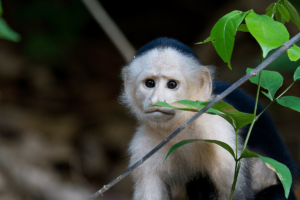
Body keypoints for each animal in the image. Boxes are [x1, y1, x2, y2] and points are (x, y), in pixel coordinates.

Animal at [120, 38, 298, 200]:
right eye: (149, 83)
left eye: (172, 85)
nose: (157, 100)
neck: (180, 125)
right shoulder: (142, 148)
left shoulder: (217, 126)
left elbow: (235, 194)